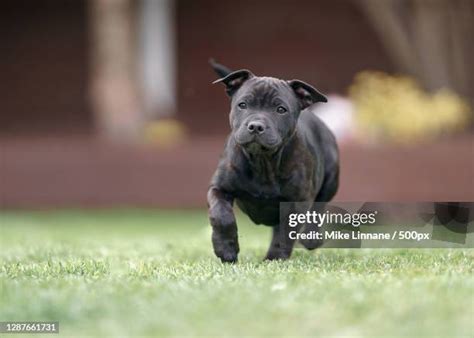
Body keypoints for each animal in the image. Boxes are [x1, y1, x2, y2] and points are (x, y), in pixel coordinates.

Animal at [209, 60, 338, 262]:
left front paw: (275, 257)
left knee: (319, 206)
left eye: (281, 110)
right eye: (242, 105)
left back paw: (312, 238)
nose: (256, 126)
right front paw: (226, 249)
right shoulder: (219, 188)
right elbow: (221, 216)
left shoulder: (296, 202)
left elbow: (285, 233)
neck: (263, 162)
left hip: (331, 178)